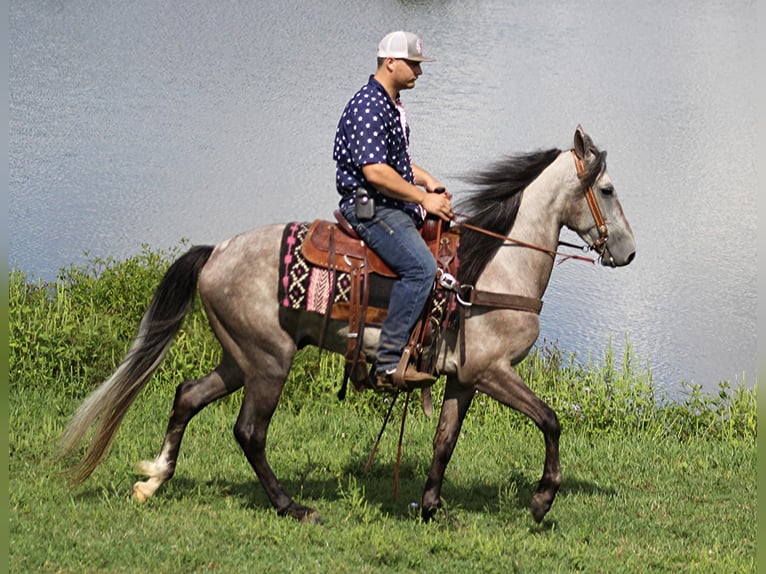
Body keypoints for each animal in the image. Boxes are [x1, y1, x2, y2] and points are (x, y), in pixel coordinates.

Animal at [58, 126, 636, 528]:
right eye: (607, 189)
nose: (629, 252)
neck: (492, 269)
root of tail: (215, 252)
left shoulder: (464, 378)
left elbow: (444, 441)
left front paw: (432, 507)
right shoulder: (492, 371)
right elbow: (551, 421)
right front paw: (541, 500)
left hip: (241, 357)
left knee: (186, 396)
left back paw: (154, 480)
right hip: (269, 363)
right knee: (249, 432)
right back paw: (292, 507)